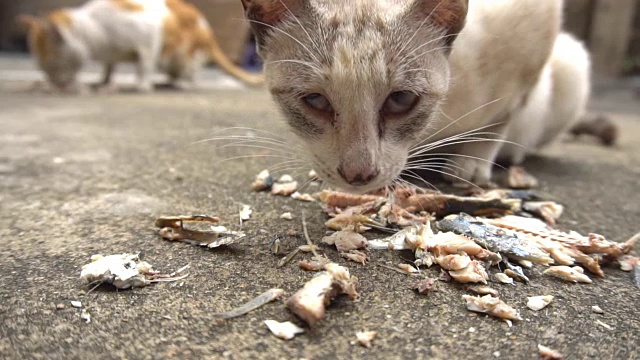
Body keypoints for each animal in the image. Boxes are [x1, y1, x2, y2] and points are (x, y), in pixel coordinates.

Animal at [18, 0, 262, 92]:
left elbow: (145, 65)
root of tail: (210, 36)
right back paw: (166, 82)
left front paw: (142, 85)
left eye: (52, 65)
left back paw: (181, 84)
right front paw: (103, 82)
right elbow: (109, 67)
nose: (55, 83)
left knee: (191, 74)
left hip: (185, 54)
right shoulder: (110, 56)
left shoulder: (148, 35)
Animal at [239, 0, 592, 193]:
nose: (358, 176)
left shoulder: (531, 44)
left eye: (401, 100)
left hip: (571, 63)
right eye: (315, 101)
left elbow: (500, 120)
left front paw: (471, 165)